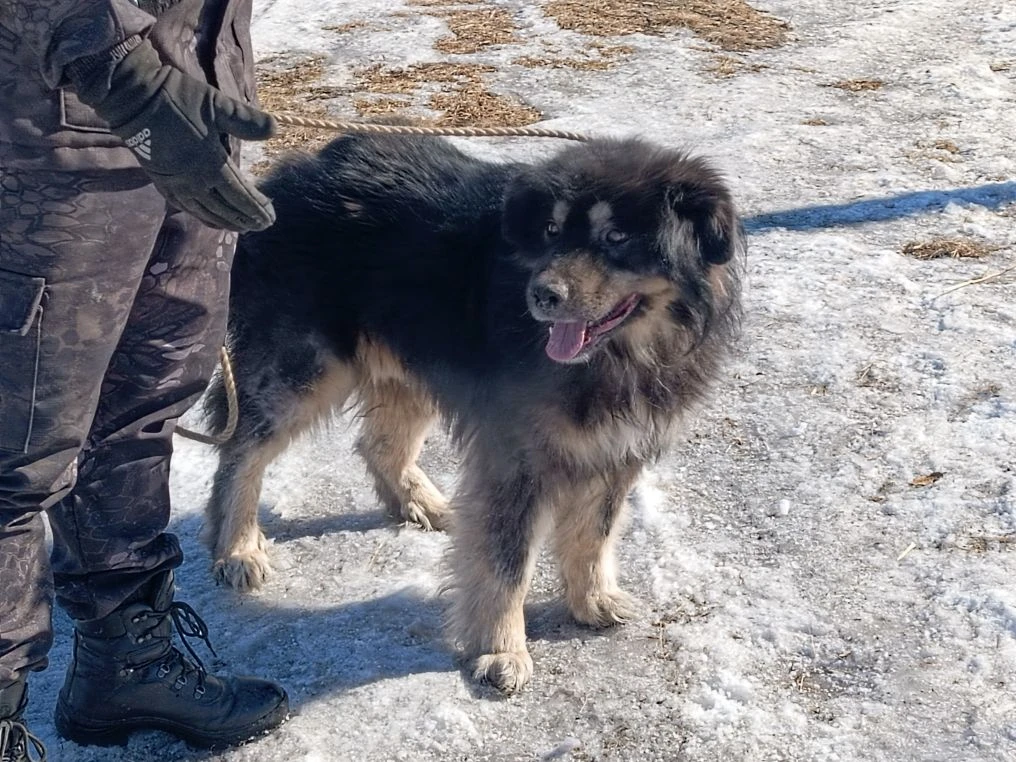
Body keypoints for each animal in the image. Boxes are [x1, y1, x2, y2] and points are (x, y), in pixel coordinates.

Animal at [201, 132, 744, 693]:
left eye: (616, 237)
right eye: (551, 231)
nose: (542, 295)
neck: (620, 357)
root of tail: (288, 177)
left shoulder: (615, 448)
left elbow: (594, 534)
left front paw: (591, 600)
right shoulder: (516, 456)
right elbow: (507, 563)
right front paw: (501, 650)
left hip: (412, 360)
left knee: (379, 444)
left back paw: (422, 504)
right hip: (303, 368)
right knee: (240, 450)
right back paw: (236, 548)